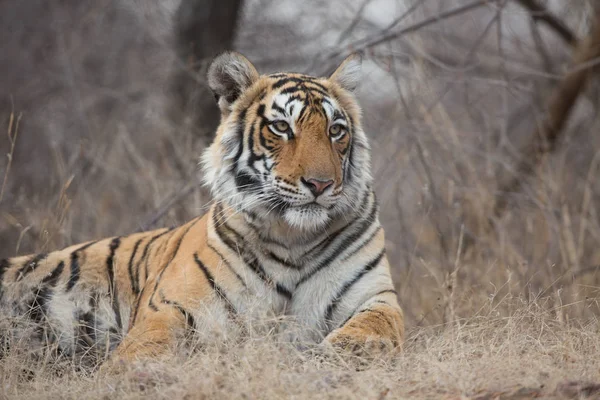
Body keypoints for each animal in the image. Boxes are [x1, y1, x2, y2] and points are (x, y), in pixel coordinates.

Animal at [0, 52, 406, 362]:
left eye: (335, 131)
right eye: (280, 127)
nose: (321, 185)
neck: (293, 238)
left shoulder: (375, 297)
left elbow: (374, 326)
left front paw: (343, 351)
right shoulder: (170, 307)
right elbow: (144, 348)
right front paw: (131, 372)